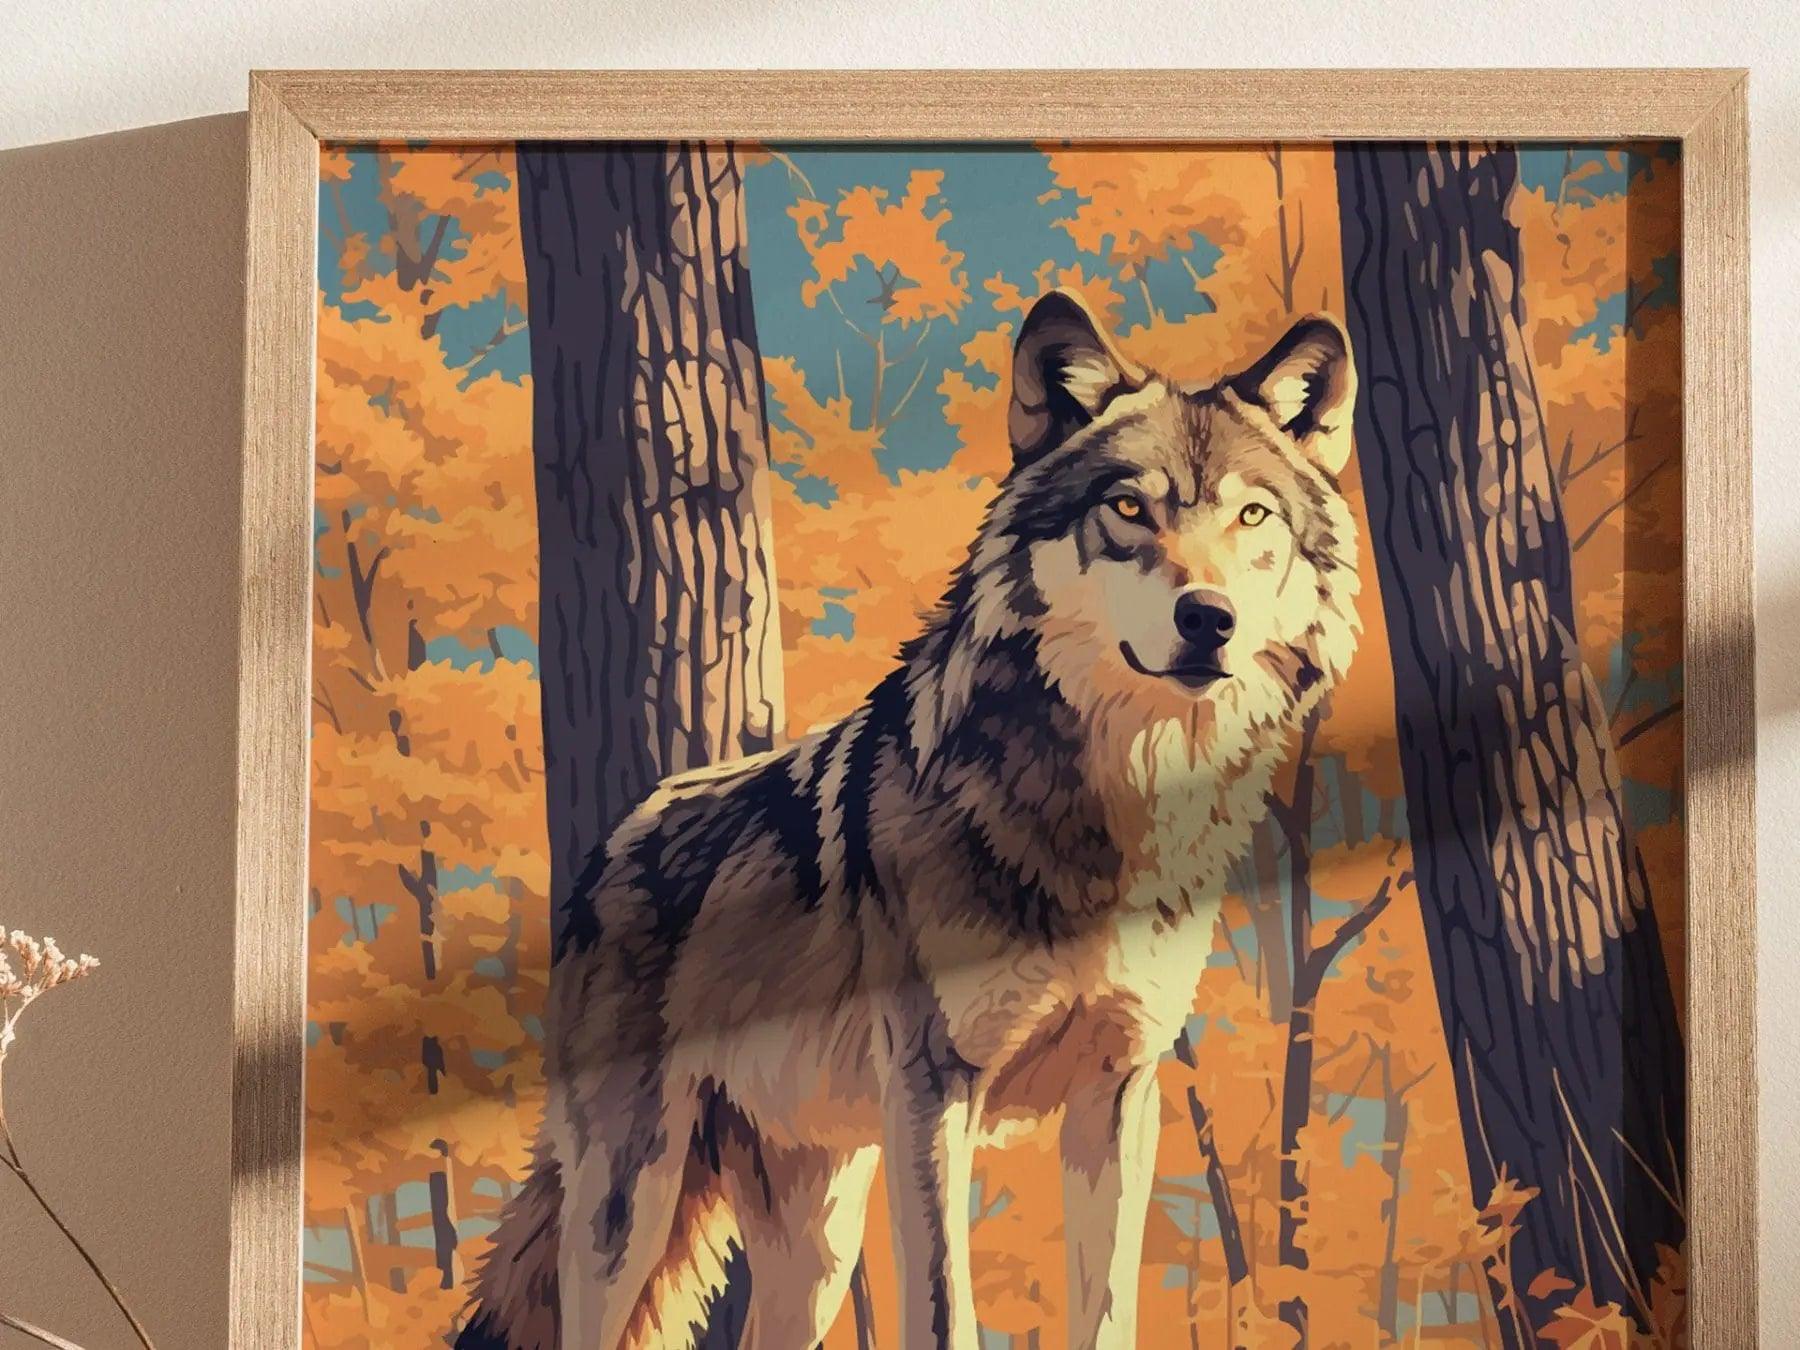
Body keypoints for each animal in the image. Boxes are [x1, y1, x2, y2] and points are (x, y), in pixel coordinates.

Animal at [456, 289, 1362, 1350]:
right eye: (1129, 508)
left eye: (1252, 514)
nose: (1208, 618)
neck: (1114, 803)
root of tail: (613, 839)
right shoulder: (934, 1088)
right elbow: (942, 1309)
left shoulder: (1120, 1092)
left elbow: (1104, 1310)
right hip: (630, 1203)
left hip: (815, 1236)